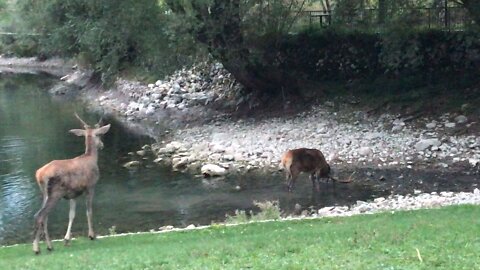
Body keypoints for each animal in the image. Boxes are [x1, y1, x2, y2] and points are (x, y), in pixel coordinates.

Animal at [32, 113, 110, 254]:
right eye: (99, 135)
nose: (102, 145)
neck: (90, 158)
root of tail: (40, 174)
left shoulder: (73, 194)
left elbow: (71, 215)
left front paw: (67, 239)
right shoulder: (90, 186)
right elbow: (89, 210)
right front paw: (92, 235)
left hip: (45, 193)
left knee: (45, 217)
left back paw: (49, 246)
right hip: (55, 192)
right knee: (40, 215)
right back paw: (37, 248)